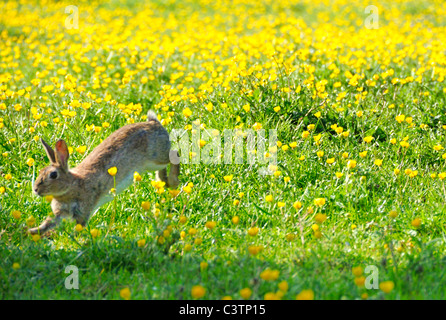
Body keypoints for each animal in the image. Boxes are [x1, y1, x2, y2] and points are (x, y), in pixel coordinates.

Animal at [28, 111, 179, 236]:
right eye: (40, 171)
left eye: (53, 175)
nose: (35, 190)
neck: (72, 185)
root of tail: (154, 123)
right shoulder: (60, 213)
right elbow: (48, 224)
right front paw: (31, 231)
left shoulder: (84, 210)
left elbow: (79, 227)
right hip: (152, 164)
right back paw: (163, 181)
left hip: (156, 157)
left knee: (175, 154)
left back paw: (173, 181)